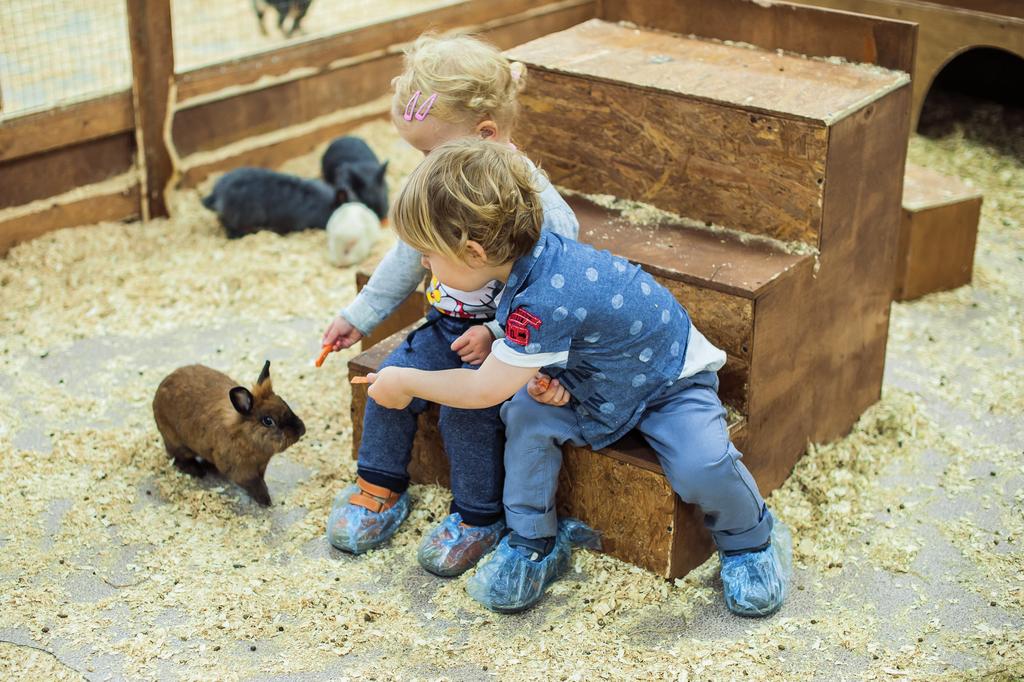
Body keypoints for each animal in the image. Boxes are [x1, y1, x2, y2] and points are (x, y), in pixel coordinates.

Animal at [151, 360, 303, 503]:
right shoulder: (242, 472)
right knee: (177, 457)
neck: (244, 436)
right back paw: (197, 471)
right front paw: (265, 500)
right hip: (175, 441)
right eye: (268, 421)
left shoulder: (261, 466)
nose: (302, 430)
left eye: (284, 402)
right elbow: (254, 484)